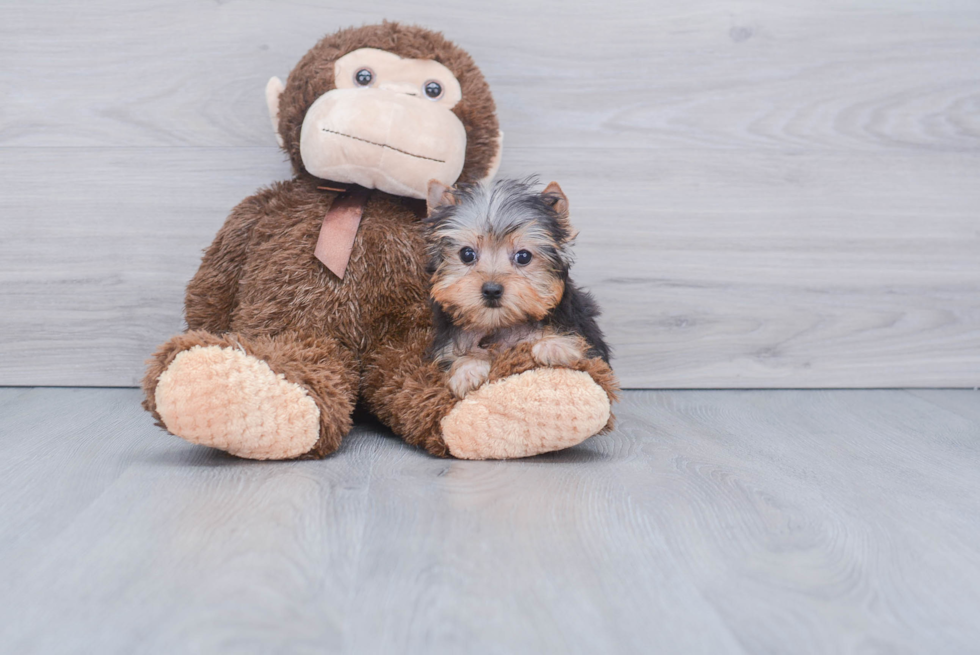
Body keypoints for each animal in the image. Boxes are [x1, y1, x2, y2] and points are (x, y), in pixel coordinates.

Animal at [424, 177, 608, 398]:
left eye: (523, 256)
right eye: (467, 254)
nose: (492, 290)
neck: (499, 325)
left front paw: (554, 346)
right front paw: (467, 370)